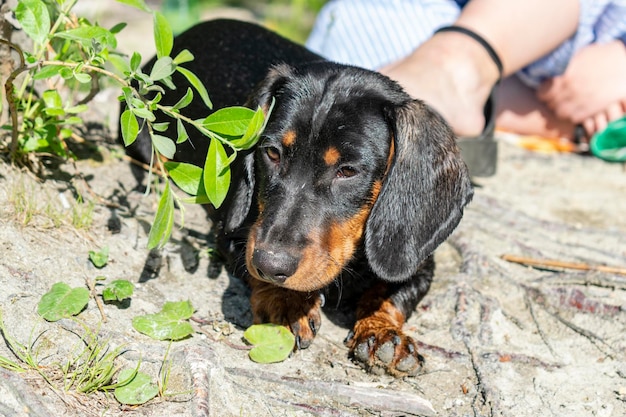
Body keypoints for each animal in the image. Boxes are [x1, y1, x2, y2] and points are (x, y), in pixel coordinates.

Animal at [124, 19, 470, 376]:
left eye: (348, 170)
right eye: (272, 152)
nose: (270, 263)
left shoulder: (416, 261)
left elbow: (389, 292)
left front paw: (384, 334)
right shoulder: (237, 233)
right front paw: (288, 303)